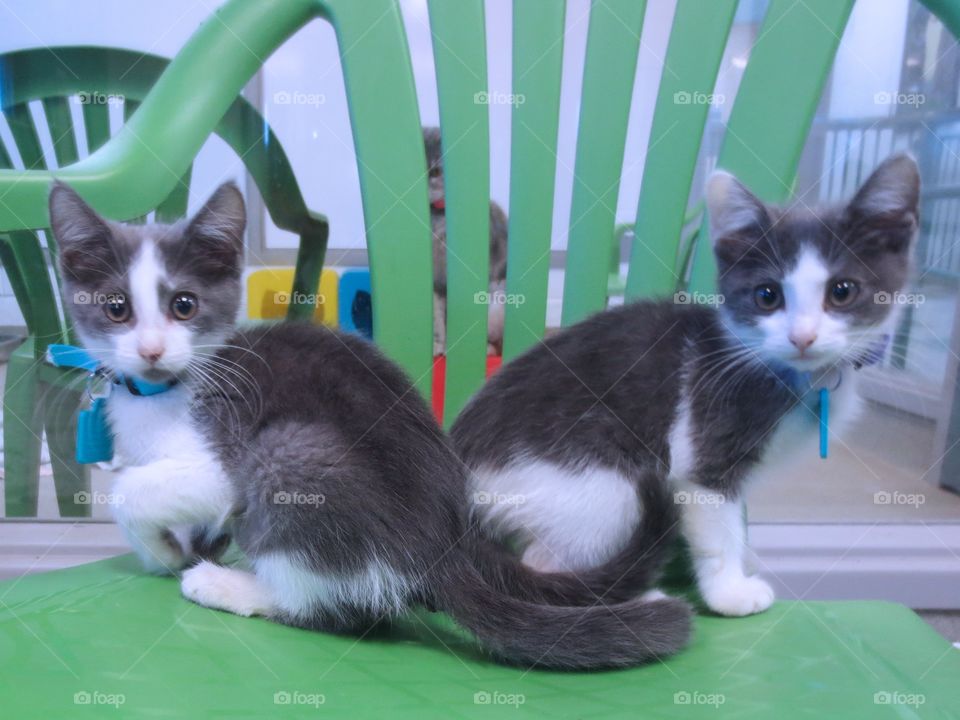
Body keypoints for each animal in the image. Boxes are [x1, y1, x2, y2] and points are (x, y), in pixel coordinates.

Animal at [50, 180, 688, 668]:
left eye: (183, 304)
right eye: (116, 308)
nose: (152, 351)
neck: (166, 390)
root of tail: (442, 545)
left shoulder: (218, 453)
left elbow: (131, 491)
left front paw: (162, 550)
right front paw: (177, 546)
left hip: (290, 451)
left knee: (335, 607)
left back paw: (227, 585)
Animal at [454, 155, 920, 616]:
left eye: (842, 291)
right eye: (767, 296)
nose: (802, 337)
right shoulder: (704, 448)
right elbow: (718, 526)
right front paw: (731, 592)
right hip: (604, 482)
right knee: (543, 563)